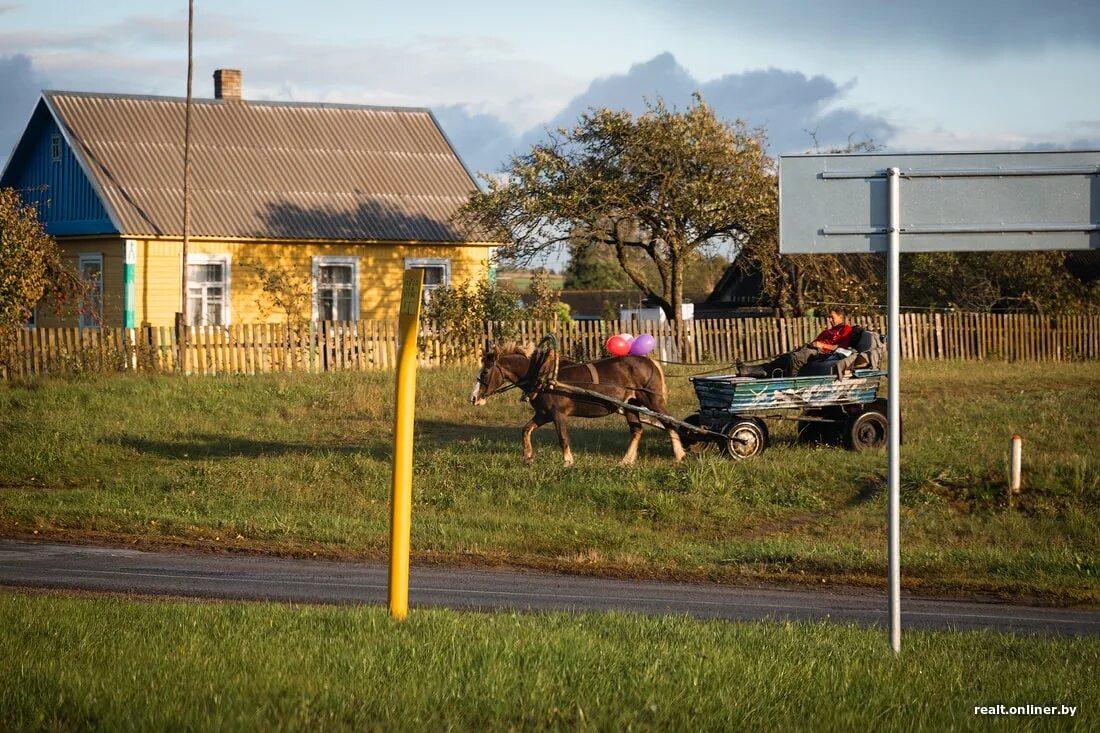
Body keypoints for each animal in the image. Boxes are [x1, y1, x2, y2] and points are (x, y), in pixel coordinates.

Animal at [468, 343, 682, 468]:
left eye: (485, 372)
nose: (473, 398)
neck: (543, 374)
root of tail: (650, 362)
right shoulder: (543, 414)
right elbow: (526, 429)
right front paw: (528, 457)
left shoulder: (558, 414)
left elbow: (563, 438)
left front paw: (567, 462)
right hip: (631, 405)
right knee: (637, 430)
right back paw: (626, 461)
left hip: (652, 401)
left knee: (669, 422)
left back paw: (679, 455)